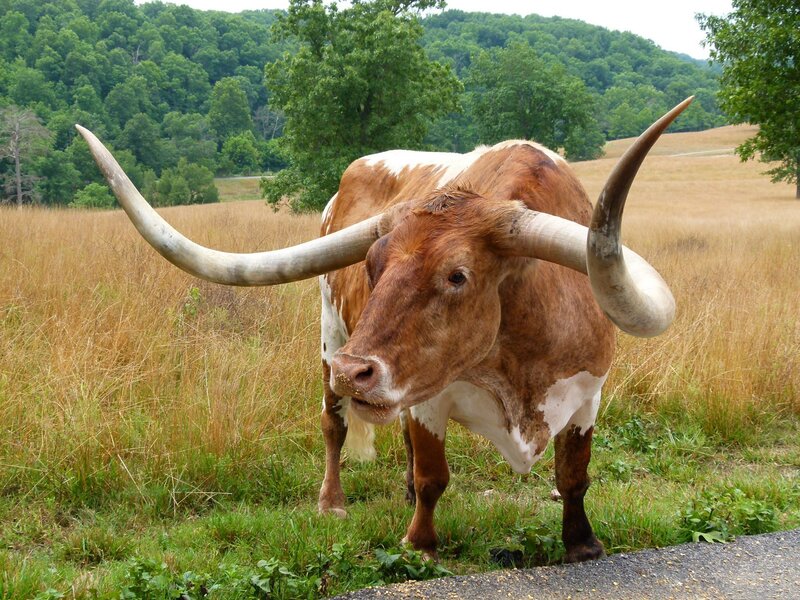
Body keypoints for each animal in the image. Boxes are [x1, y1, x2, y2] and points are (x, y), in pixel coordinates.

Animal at [76, 97, 692, 563]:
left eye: (458, 276)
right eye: (371, 266)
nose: (355, 371)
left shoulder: (588, 395)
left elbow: (574, 474)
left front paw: (582, 544)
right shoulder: (430, 397)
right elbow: (435, 475)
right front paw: (420, 543)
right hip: (329, 334)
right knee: (334, 426)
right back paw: (333, 501)